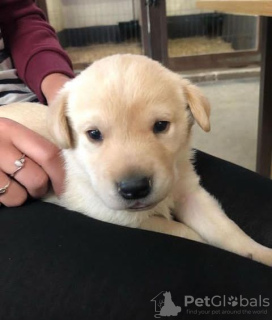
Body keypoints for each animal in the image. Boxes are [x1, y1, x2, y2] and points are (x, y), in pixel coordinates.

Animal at [0, 54, 272, 264]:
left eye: (161, 125)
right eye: (94, 134)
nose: (134, 188)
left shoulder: (189, 192)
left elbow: (226, 229)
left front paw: (260, 253)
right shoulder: (116, 215)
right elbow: (185, 233)